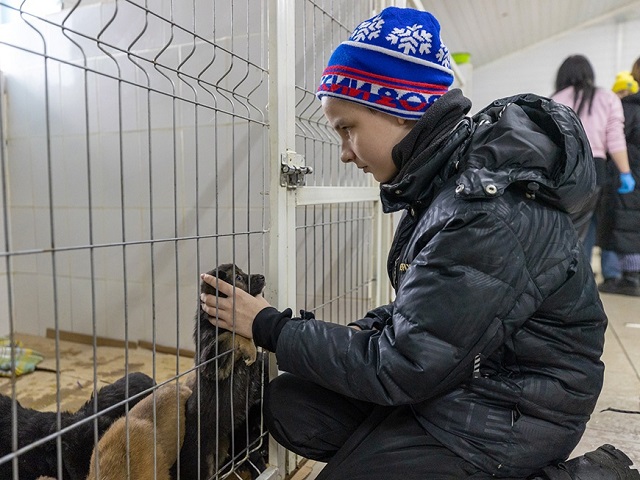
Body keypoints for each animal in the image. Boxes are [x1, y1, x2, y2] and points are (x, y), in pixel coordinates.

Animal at [170, 264, 268, 478]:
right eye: (238, 277)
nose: (263, 277)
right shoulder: (211, 360)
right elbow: (231, 335)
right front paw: (249, 347)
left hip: (222, 447)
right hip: (202, 463)